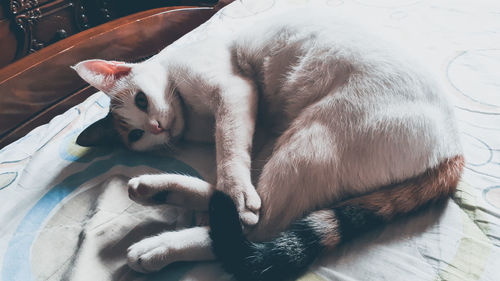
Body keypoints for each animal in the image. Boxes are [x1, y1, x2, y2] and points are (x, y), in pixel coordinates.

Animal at [72, 8, 462, 280]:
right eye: (136, 135)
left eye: (141, 100)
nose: (155, 125)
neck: (193, 116)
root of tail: (453, 150)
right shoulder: (256, 131)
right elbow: (233, 164)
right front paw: (229, 193)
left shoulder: (234, 92)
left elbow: (228, 152)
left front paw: (234, 191)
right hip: (287, 146)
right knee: (245, 215)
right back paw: (155, 190)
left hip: (308, 141)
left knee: (256, 231)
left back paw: (160, 245)